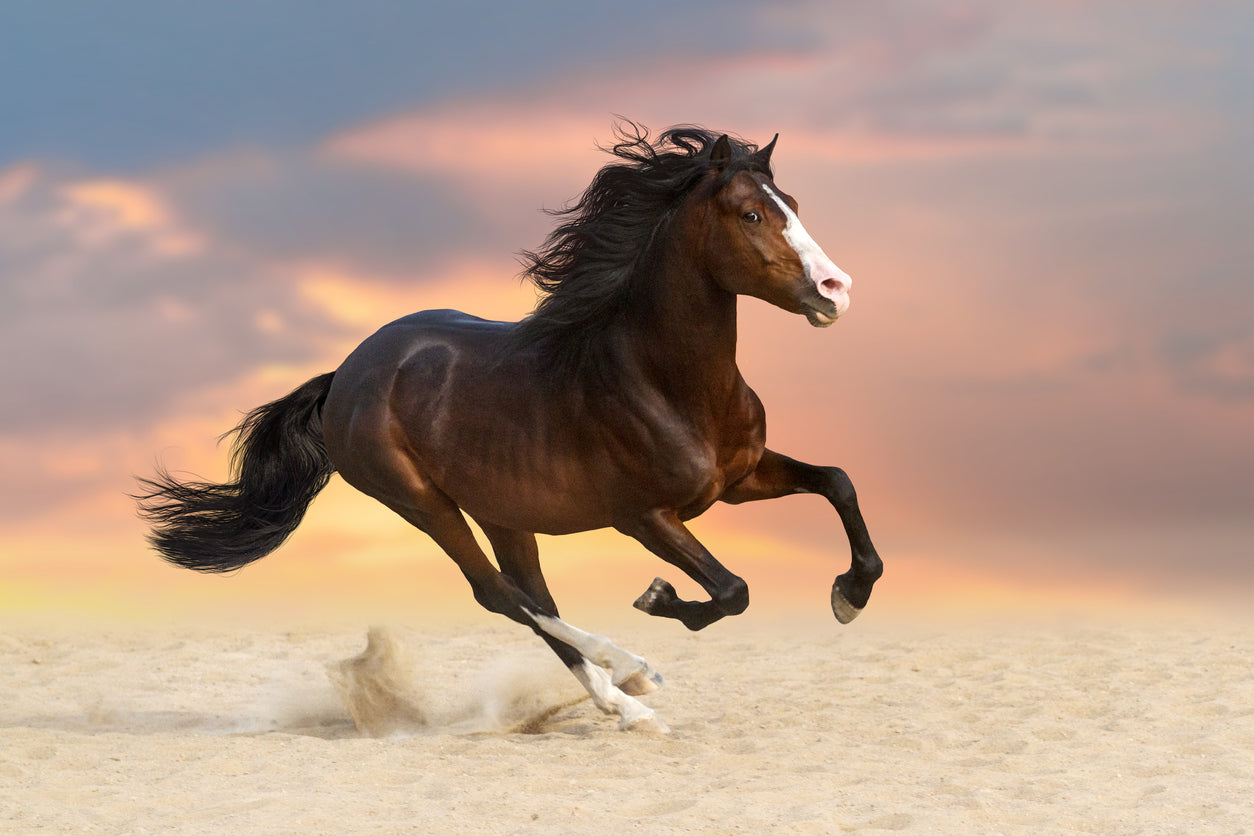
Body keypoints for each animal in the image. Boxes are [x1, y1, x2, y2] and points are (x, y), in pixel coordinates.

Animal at [137, 124, 882, 731]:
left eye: (795, 206)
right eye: (751, 213)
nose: (836, 290)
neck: (662, 380)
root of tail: (345, 374)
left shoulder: (738, 479)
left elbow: (839, 483)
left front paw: (849, 594)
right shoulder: (644, 517)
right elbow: (732, 591)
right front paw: (658, 597)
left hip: (503, 511)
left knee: (527, 594)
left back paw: (621, 697)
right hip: (421, 502)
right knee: (499, 595)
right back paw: (632, 678)